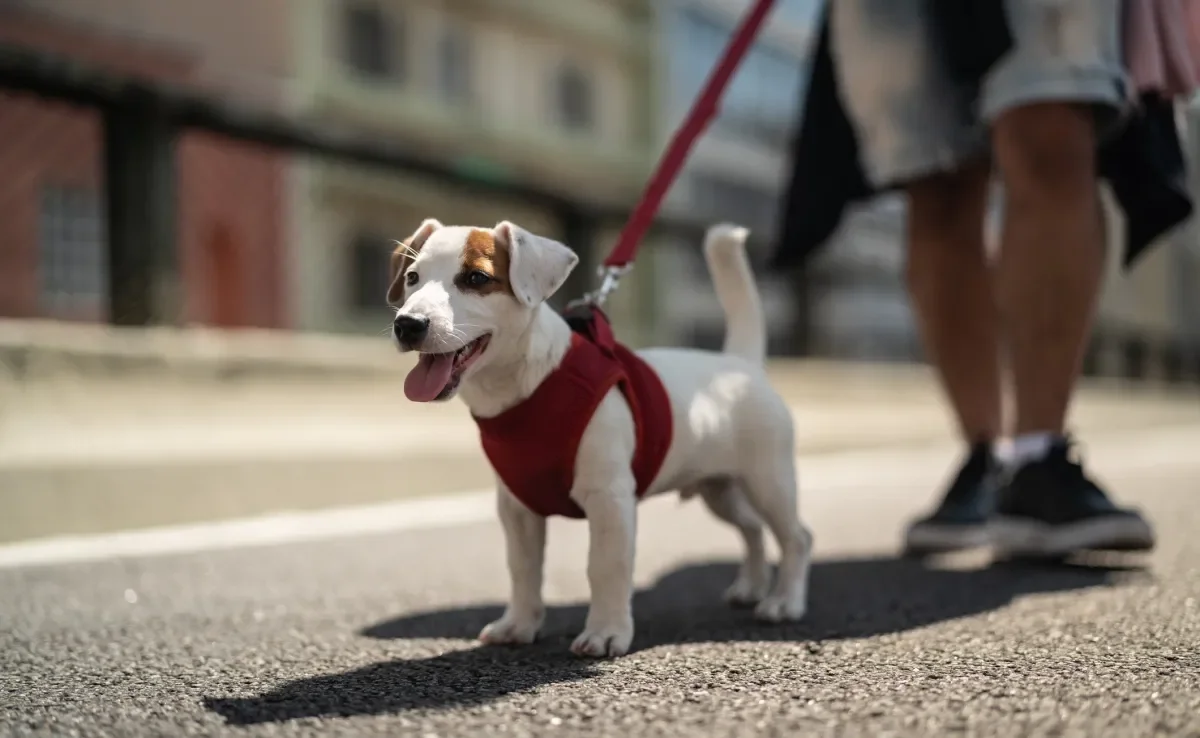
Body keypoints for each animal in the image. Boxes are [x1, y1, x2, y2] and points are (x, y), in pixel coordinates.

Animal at [388, 219, 811, 657]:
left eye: (476, 278)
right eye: (412, 277)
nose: (408, 324)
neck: (531, 386)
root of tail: (740, 364)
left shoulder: (610, 500)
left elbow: (606, 567)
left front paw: (606, 631)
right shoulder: (517, 508)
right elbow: (523, 569)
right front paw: (519, 624)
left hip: (768, 482)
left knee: (796, 538)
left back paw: (784, 602)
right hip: (719, 490)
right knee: (753, 530)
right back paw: (751, 587)